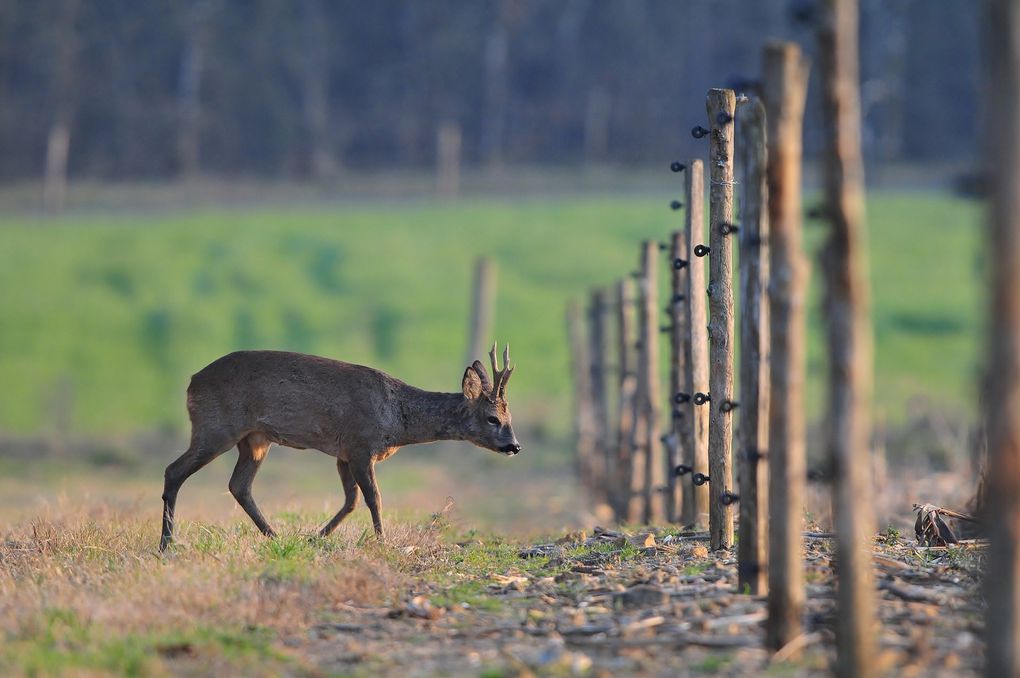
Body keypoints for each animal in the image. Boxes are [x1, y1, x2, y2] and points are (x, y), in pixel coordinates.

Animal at [164, 344, 526, 550]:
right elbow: (373, 498)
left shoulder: (343, 454)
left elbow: (350, 501)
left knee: (238, 485)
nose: (514, 446)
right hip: (216, 427)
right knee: (173, 471)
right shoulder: (361, 445)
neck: (397, 417)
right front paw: (382, 543)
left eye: (510, 416)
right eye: (493, 418)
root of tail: (191, 383)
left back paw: (274, 537)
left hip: (254, 440)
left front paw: (316, 538)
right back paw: (167, 545)